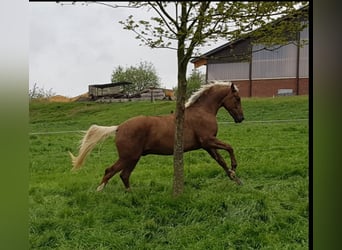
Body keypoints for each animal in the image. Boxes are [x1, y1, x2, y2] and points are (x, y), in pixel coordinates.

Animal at [69, 80, 244, 191]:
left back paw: (131, 194)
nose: (241, 118)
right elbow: (230, 147)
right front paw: (235, 167)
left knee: (123, 175)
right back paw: (102, 192)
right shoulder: (208, 140)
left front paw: (235, 178)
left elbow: (221, 161)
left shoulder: (207, 145)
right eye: (237, 98)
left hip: (133, 158)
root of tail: (119, 128)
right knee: (110, 171)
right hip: (129, 157)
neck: (202, 112)